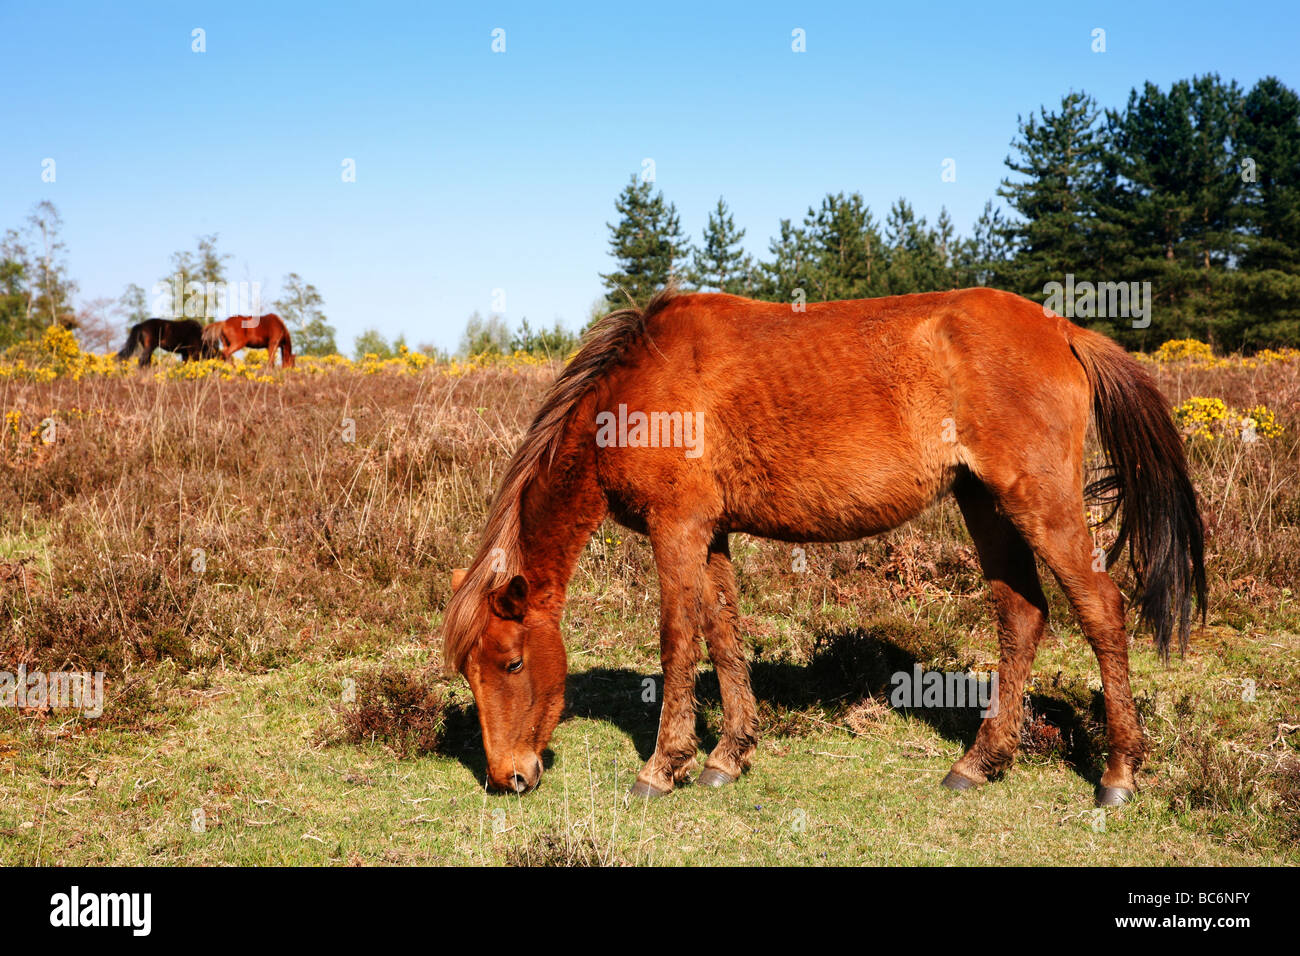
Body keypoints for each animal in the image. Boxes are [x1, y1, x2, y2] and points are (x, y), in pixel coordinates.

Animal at [442, 286, 1205, 806]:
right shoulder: (711, 533)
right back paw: (981, 762)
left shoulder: (677, 529)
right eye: (471, 673)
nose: (509, 776)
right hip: (985, 505)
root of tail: (1066, 331)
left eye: (512, 663)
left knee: (1102, 610)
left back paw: (1118, 771)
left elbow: (678, 640)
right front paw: (728, 756)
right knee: (1021, 616)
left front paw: (665, 765)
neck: (635, 389)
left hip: (1039, 505)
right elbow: (724, 634)